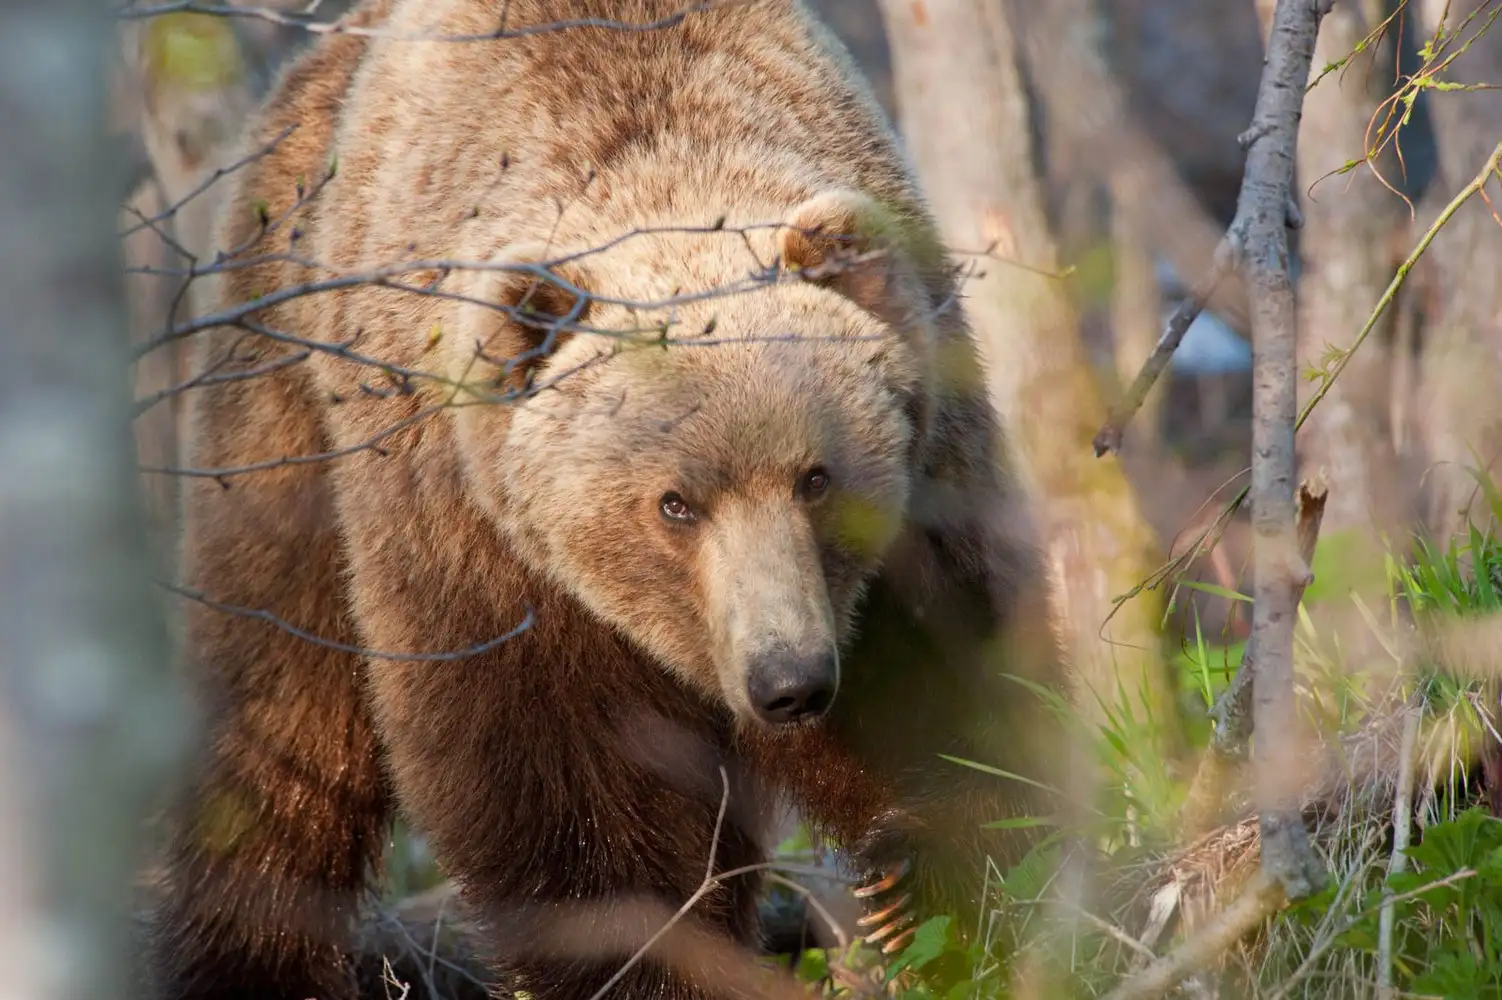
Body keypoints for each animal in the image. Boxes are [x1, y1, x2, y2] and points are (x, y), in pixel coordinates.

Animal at [149, 0, 1069, 990]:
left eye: (817, 477)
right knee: (278, 720)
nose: (788, 680)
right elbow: (572, 805)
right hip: (281, 408)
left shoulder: (919, 493)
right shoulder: (481, 550)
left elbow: (960, 691)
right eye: (675, 504)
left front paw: (945, 899)